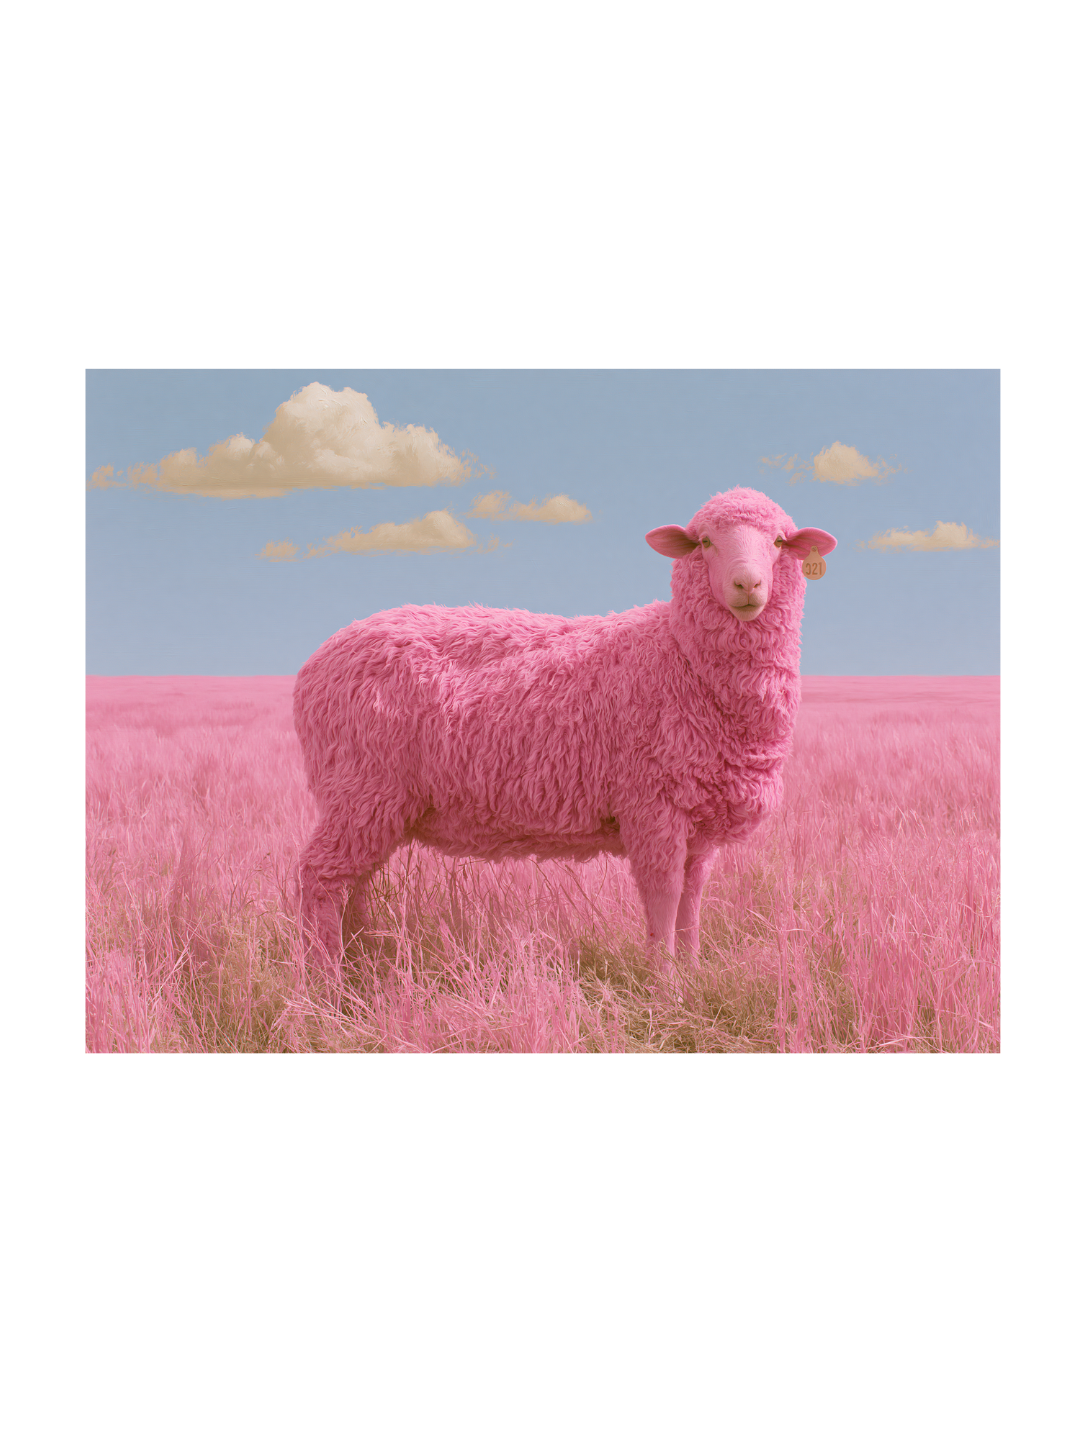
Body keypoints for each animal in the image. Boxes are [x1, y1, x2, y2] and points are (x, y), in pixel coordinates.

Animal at [293, 486, 836, 977]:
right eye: (704, 542)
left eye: (780, 542)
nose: (747, 585)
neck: (679, 654)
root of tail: (317, 660)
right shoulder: (652, 806)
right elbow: (664, 897)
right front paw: (665, 988)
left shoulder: (698, 815)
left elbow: (692, 901)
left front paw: (693, 972)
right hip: (359, 786)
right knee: (319, 877)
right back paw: (324, 981)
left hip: (373, 802)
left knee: (356, 880)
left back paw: (362, 958)